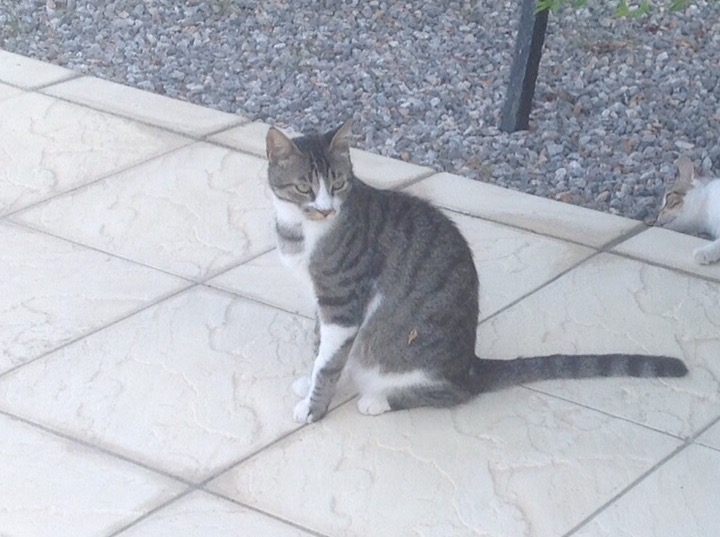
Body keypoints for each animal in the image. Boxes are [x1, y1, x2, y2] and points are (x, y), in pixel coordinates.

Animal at [266, 120, 688, 423]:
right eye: (304, 187)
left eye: (337, 182)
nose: (326, 209)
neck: (301, 231)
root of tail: (470, 365)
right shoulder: (321, 301)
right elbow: (321, 348)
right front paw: (309, 381)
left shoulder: (342, 302)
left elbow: (329, 360)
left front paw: (314, 407)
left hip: (418, 364)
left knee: (452, 395)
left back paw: (379, 399)